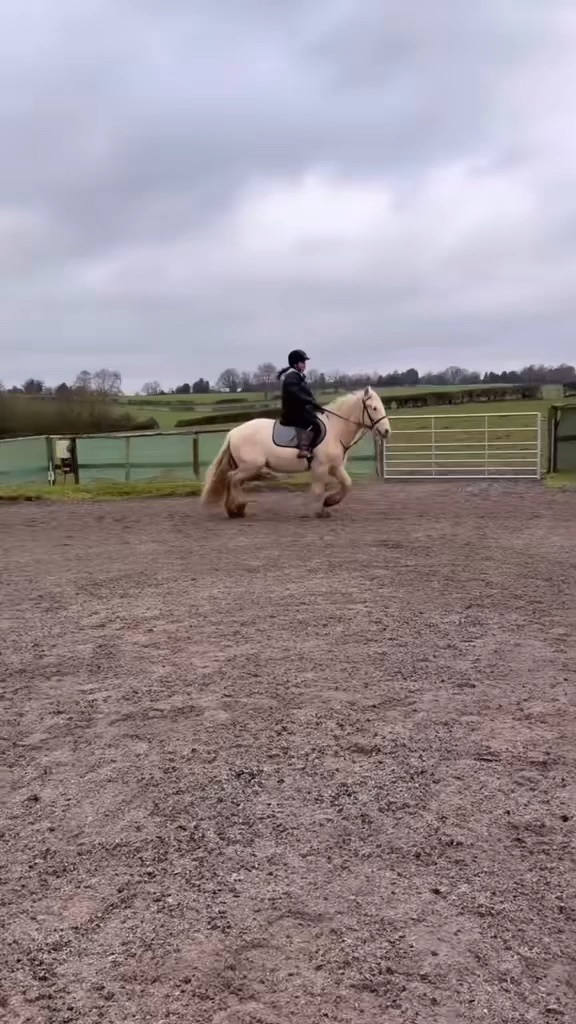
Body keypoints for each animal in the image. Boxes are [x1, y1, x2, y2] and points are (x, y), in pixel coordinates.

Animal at [200, 386, 391, 518]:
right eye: (374, 408)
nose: (386, 431)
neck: (335, 429)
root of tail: (233, 433)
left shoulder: (335, 467)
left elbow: (347, 484)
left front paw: (329, 502)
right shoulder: (320, 468)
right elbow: (318, 490)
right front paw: (318, 511)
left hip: (247, 467)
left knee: (233, 480)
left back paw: (234, 510)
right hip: (250, 467)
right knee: (233, 479)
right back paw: (237, 507)